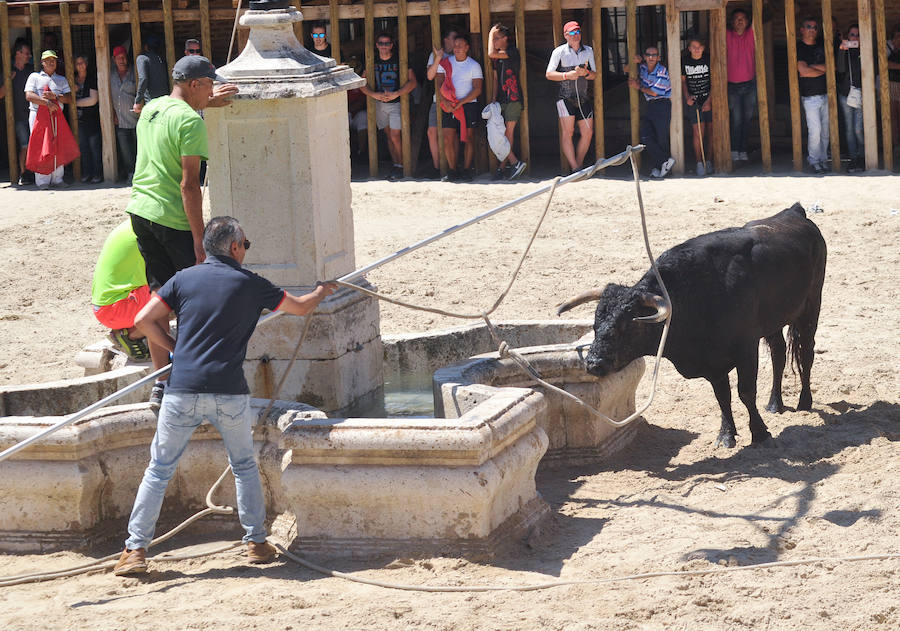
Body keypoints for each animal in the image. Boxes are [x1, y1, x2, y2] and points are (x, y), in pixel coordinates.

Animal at [560, 204, 828, 450]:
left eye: (628, 326)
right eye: (596, 324)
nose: (594, 363)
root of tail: (794, 211)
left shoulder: (746, 348)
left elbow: (745, 392)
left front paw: (759, 433)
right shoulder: (713, 363)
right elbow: (722, 396)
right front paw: (726, 435)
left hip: (811, 306)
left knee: (806, 352)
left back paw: (804, 401)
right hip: (774, 320)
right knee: (778, 354)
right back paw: (775, 404)